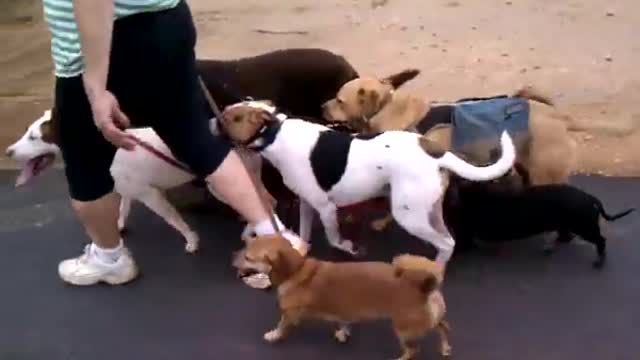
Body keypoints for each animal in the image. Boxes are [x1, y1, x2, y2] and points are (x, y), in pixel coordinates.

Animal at [222, 100, 516, 262]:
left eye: (231, 118)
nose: (214, 122)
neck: (275, 132)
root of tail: (433, 151)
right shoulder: (307, 204)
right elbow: (303, 234)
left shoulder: (326, 209)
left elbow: (334, 239)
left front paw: (348, 248)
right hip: (427, 211)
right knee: (448, 240)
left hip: (409, 215)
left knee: (446, 243)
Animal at [231, 235, 450, 358]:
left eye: (248, 257)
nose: (232, 258)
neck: (296, 269)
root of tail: (423, 285)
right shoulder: (343, 311)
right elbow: (343, 321)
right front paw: (343, 332)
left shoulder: (289, 315)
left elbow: (280, 327)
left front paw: (274, 335)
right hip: (427, 321)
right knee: (443, 327)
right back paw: (446, 348)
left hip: (404, 330)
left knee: (413, 351)